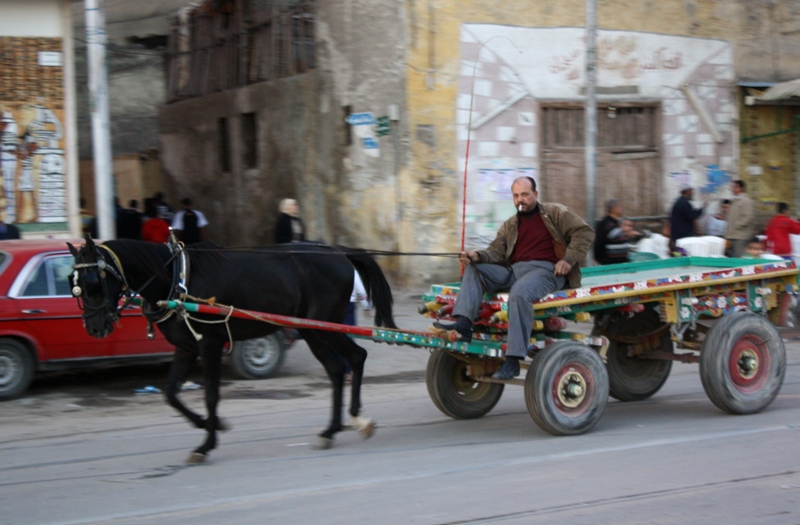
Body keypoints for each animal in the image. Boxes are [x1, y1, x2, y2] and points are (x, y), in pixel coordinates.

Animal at [67, 237, 396, 462]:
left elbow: (211, 395)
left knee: (356, 357)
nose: (94, 327)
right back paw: (331, 430)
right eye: (74, 281)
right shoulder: (186, 347)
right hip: (310, 329)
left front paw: (205, 444)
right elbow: (171, 393)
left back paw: (357, 418)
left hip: (323, 325)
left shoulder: (209, 344)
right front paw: (208, 425)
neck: (177, 279)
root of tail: (337, 251)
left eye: (94, 279)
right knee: (337, 368)